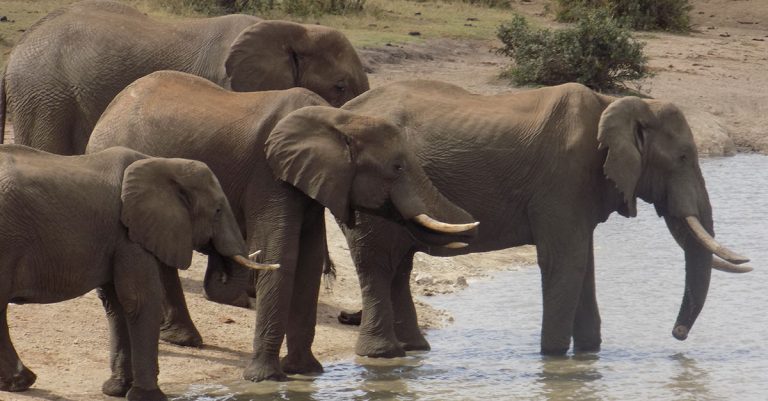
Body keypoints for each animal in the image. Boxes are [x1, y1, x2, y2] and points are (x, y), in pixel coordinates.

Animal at [0, 145, 275, 401]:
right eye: (218, 210)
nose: (220, 265)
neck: (163, 164)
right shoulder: (129, 236)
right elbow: (140, 300)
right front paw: (149, 396)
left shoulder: (119, 237)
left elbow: (116, 304)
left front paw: (116, 390)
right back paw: (22, 381)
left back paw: (18, 381)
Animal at [85, 71, 479, 381]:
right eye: (397, 167)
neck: (339, 119)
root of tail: (109, 111)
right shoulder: (270, 175)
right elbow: (283, 254)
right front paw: (266, 379)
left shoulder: (310, 180)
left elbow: (309, 258)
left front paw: (307, 373)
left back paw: (184, 339)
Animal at [338, 80, 751, 358]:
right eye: (682, 158)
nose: (677, 334)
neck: (614, 104)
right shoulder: (563, 177)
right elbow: (565, 261)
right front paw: (553, 358)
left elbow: (585, 263)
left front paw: (588, 355)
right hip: (368, 189)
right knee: (378, 262)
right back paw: (383, 354)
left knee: (399, 266)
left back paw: (414, 350)